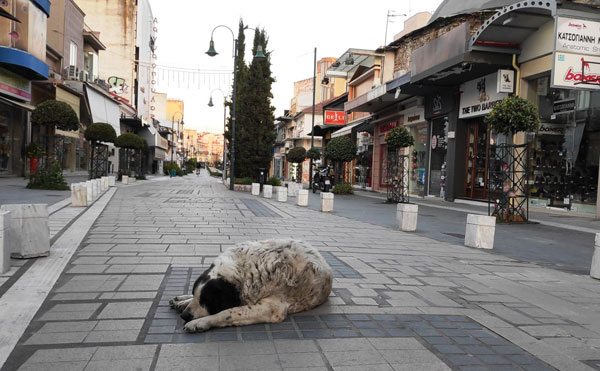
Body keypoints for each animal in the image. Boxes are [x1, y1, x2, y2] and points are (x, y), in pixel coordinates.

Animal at [170, 241, 332, 334]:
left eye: (207, 301)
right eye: (199, 296)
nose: (184, 316)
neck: (244, 270)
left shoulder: (271, 308)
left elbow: (228, 312)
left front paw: (200, 322)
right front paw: (185, 300)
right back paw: (181, 301)